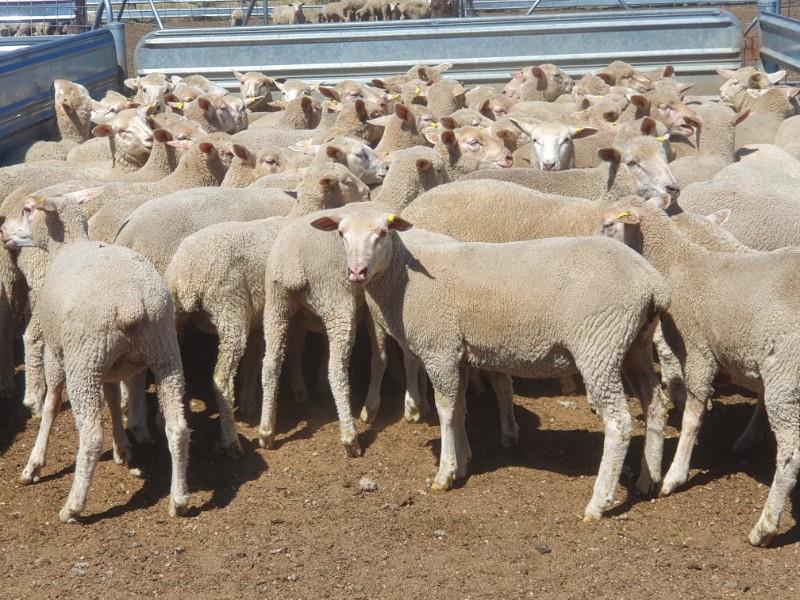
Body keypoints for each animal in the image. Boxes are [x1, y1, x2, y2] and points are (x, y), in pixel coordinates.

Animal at [0, 189, 190, 523]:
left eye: (27, 210)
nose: (2, 232)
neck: (67, 246)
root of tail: (132, 304)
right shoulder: (112, 366)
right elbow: (113, 400)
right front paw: (122, 448)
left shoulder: (56, 352)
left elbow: (51, 405)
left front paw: (34, 464)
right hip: (163, 353)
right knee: (177, 428)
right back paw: (178, 499)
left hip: (84, 361)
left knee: (90, 436)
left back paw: (73, 506)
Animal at [164, 163, 369, 455]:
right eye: (348, 181)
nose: (368, 192)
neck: (299, 216)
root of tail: (187, 274)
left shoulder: (266, 318)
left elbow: (265, 358)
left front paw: (256, 401)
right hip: (230, 311)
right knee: (221, 380)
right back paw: (231, 441)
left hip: (179, 318)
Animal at [310, 205, 670, 517]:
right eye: (341, 233)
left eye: (383, 232)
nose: (357, 272)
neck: (402, 280)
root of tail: (651, 281)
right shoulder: (458, 354)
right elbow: (459, 408)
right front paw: (463, 460)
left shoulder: (439, 350)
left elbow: (445, 409)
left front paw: (445, 473)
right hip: (635, 345)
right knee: (655, 405)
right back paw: (648, 479)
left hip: (599, 346)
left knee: (619, 422)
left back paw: (598, 502)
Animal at [601, 196, 800, 546]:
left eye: (609, 224)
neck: (680, 263)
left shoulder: (698, 351)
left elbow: (692, 418)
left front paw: (674, 476)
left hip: (786, 381)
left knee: (790, 455)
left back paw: (764, 528)